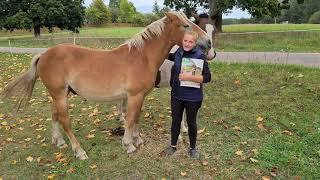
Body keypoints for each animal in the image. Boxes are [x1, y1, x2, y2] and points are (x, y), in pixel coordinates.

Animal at [0, 11, 212, 160]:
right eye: (186, 25)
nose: (208, 43)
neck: (141, 57)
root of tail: (44, 55)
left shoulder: (139, 97)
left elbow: (135, 118)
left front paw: (137, 140)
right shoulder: (134, 96)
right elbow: (130, 119)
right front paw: (129, 145)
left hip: (59, 95)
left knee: (54, 116)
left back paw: (59, 142)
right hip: (60, 95)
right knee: (65, 121)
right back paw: (79, 151)